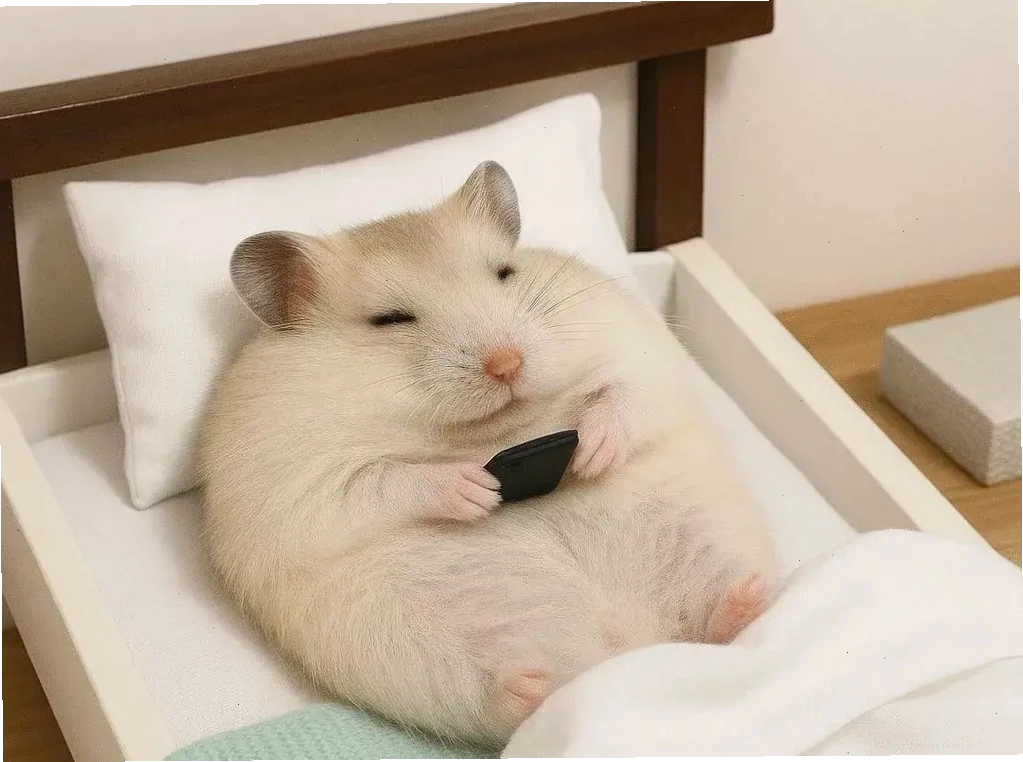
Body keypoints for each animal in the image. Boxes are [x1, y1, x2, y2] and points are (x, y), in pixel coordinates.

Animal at [197, 160, 778, 748]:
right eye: (390, 319)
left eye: (504, 273)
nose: (506, 363)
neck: (495, 431)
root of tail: (629, 646)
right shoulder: (302, 483)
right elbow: (383, 482)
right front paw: (477, 490)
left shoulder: (637, 351)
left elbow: (626, 395)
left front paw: (591, 454)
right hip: (403, 643)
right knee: (493, 698)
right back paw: (527, 687)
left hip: (709, 528)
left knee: (720, 617)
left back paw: (748, 597)